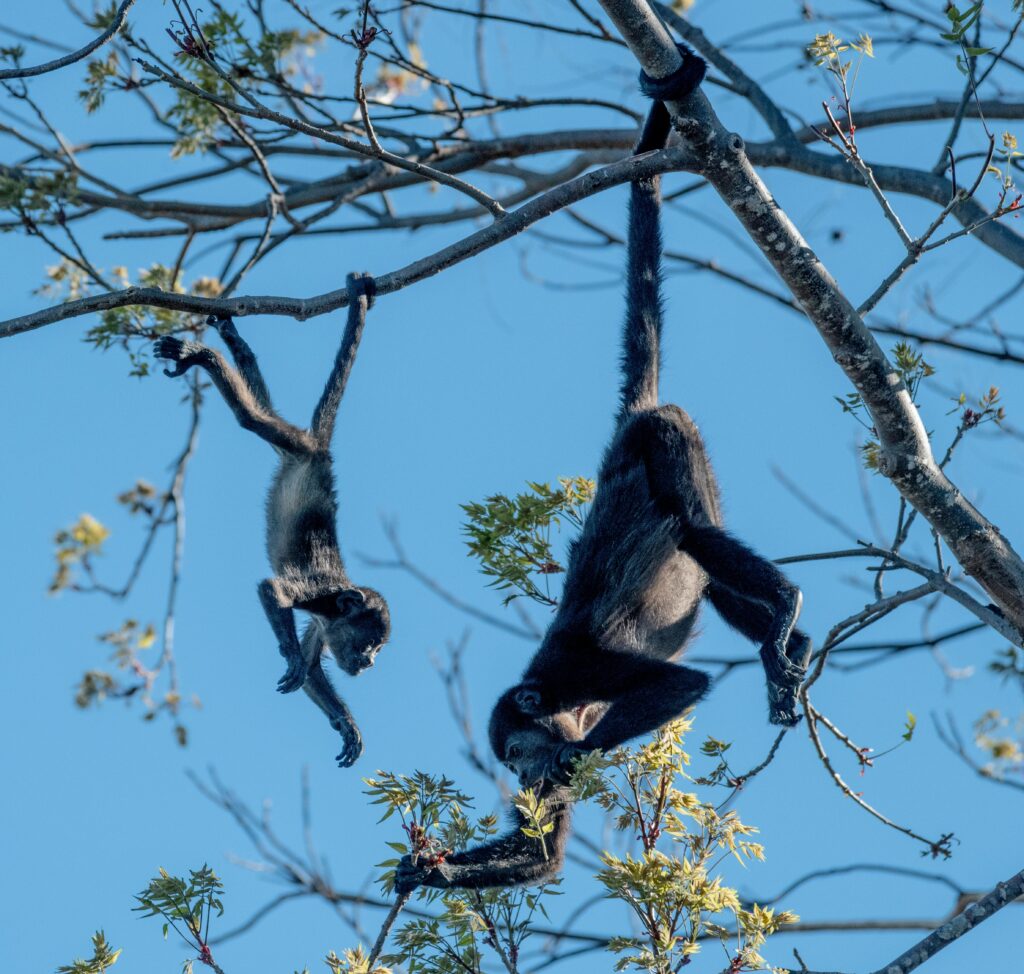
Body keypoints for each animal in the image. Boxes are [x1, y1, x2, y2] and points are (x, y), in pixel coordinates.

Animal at [153, 272, 390, 767]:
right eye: (370, 644)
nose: (371, 662)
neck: (341, 599)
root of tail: (319, 451)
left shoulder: (323, 622)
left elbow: (317, 668)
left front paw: (346, 723)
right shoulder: (322, 598)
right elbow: (272, 590)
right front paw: (292, 659)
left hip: (292, 446)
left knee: (258, 402)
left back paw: (233, 341)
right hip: (296, 445)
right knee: (251, 417)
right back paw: (202, 356)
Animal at [394, 46, 811, 892]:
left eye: (515, 751)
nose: (524, 775)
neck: (552, 694)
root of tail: (635, 412)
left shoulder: (576, 671)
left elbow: (682, 685)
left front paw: (578, 754)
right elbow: (543, 857)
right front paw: (427, 872)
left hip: (667, 435)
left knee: (694, 526)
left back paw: (785, 612)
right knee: (711, 568)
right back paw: (792, 646)